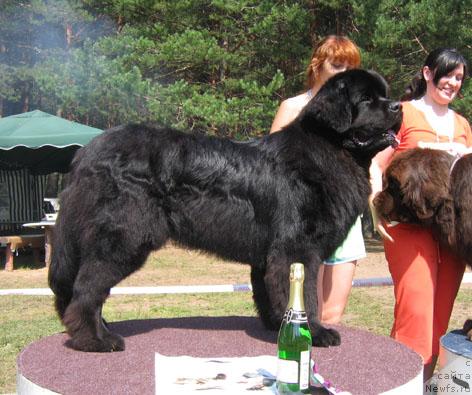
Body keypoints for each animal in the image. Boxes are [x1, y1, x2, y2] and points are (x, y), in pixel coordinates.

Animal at [48, 69, 402, 354]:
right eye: (367, 99)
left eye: (385, 94)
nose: (398, 106)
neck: (330, 149)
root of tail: (88, 153)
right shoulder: (297, 248)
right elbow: (308, 295)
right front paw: (314, 333)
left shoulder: (270, 255)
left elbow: (271, 292)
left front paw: (279, 325)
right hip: (125, 238)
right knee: (86, 290)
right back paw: (96, 340)